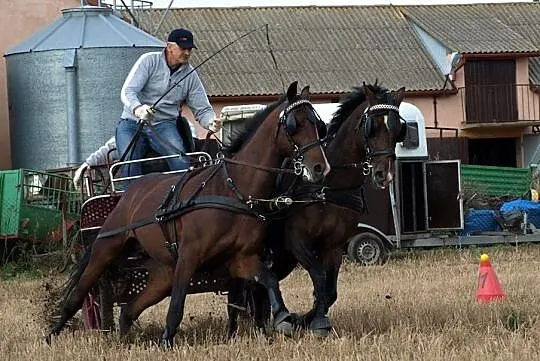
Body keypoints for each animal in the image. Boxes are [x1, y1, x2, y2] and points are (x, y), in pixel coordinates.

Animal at [46, 81, 332, 346]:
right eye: (296, 124)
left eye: (319, 125)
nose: (320, 167)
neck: (232, 189)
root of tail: (130, 191)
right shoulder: (189, 255)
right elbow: (178, 303)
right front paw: (166, 341)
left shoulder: (241, 258)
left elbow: (269, 279)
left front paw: (283, 318)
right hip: (104, 251)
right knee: (79, 294)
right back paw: (52, 333)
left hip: (161, 272)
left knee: (130, 309)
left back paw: (124, 340)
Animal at [226, 81, 408, 334]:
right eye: (371, 128)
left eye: (398, 129)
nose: (384, 174)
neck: (328, 187)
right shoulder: (297, 241)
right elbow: (319, 278)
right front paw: (313, 321)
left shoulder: (334, 246)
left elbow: (329, 290)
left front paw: (311, 319)